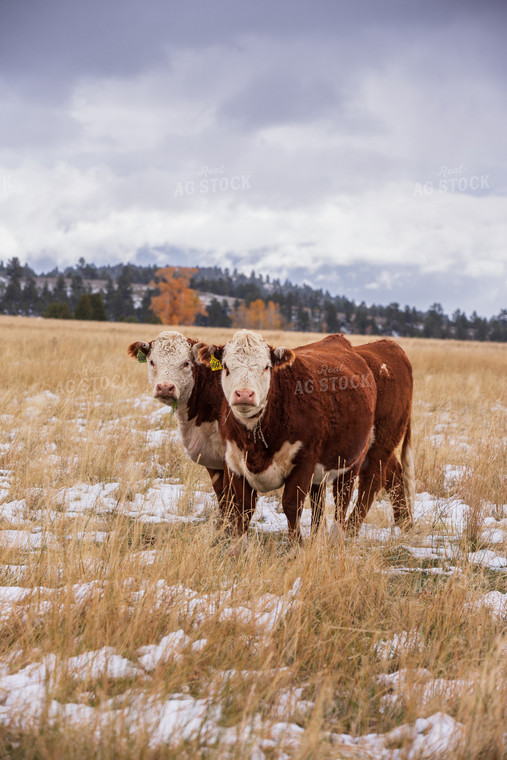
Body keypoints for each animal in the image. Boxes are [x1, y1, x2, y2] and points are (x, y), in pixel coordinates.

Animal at [125, 330, 256, 532]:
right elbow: (221, 494)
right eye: (152, 361)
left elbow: (231, 495)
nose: (165, 387)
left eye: (186, 363)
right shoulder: (211, 453)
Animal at [198, 332, 378, 540]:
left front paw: (295, 543)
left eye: (266, 367)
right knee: (318, 501)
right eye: (226, 366)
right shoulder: (234, 462)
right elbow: (243, 507)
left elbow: (292, 505)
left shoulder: (303, 462)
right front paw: (238, 543)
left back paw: (335, 537)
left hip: (352, 461)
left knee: (342, 499)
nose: (244, 394)